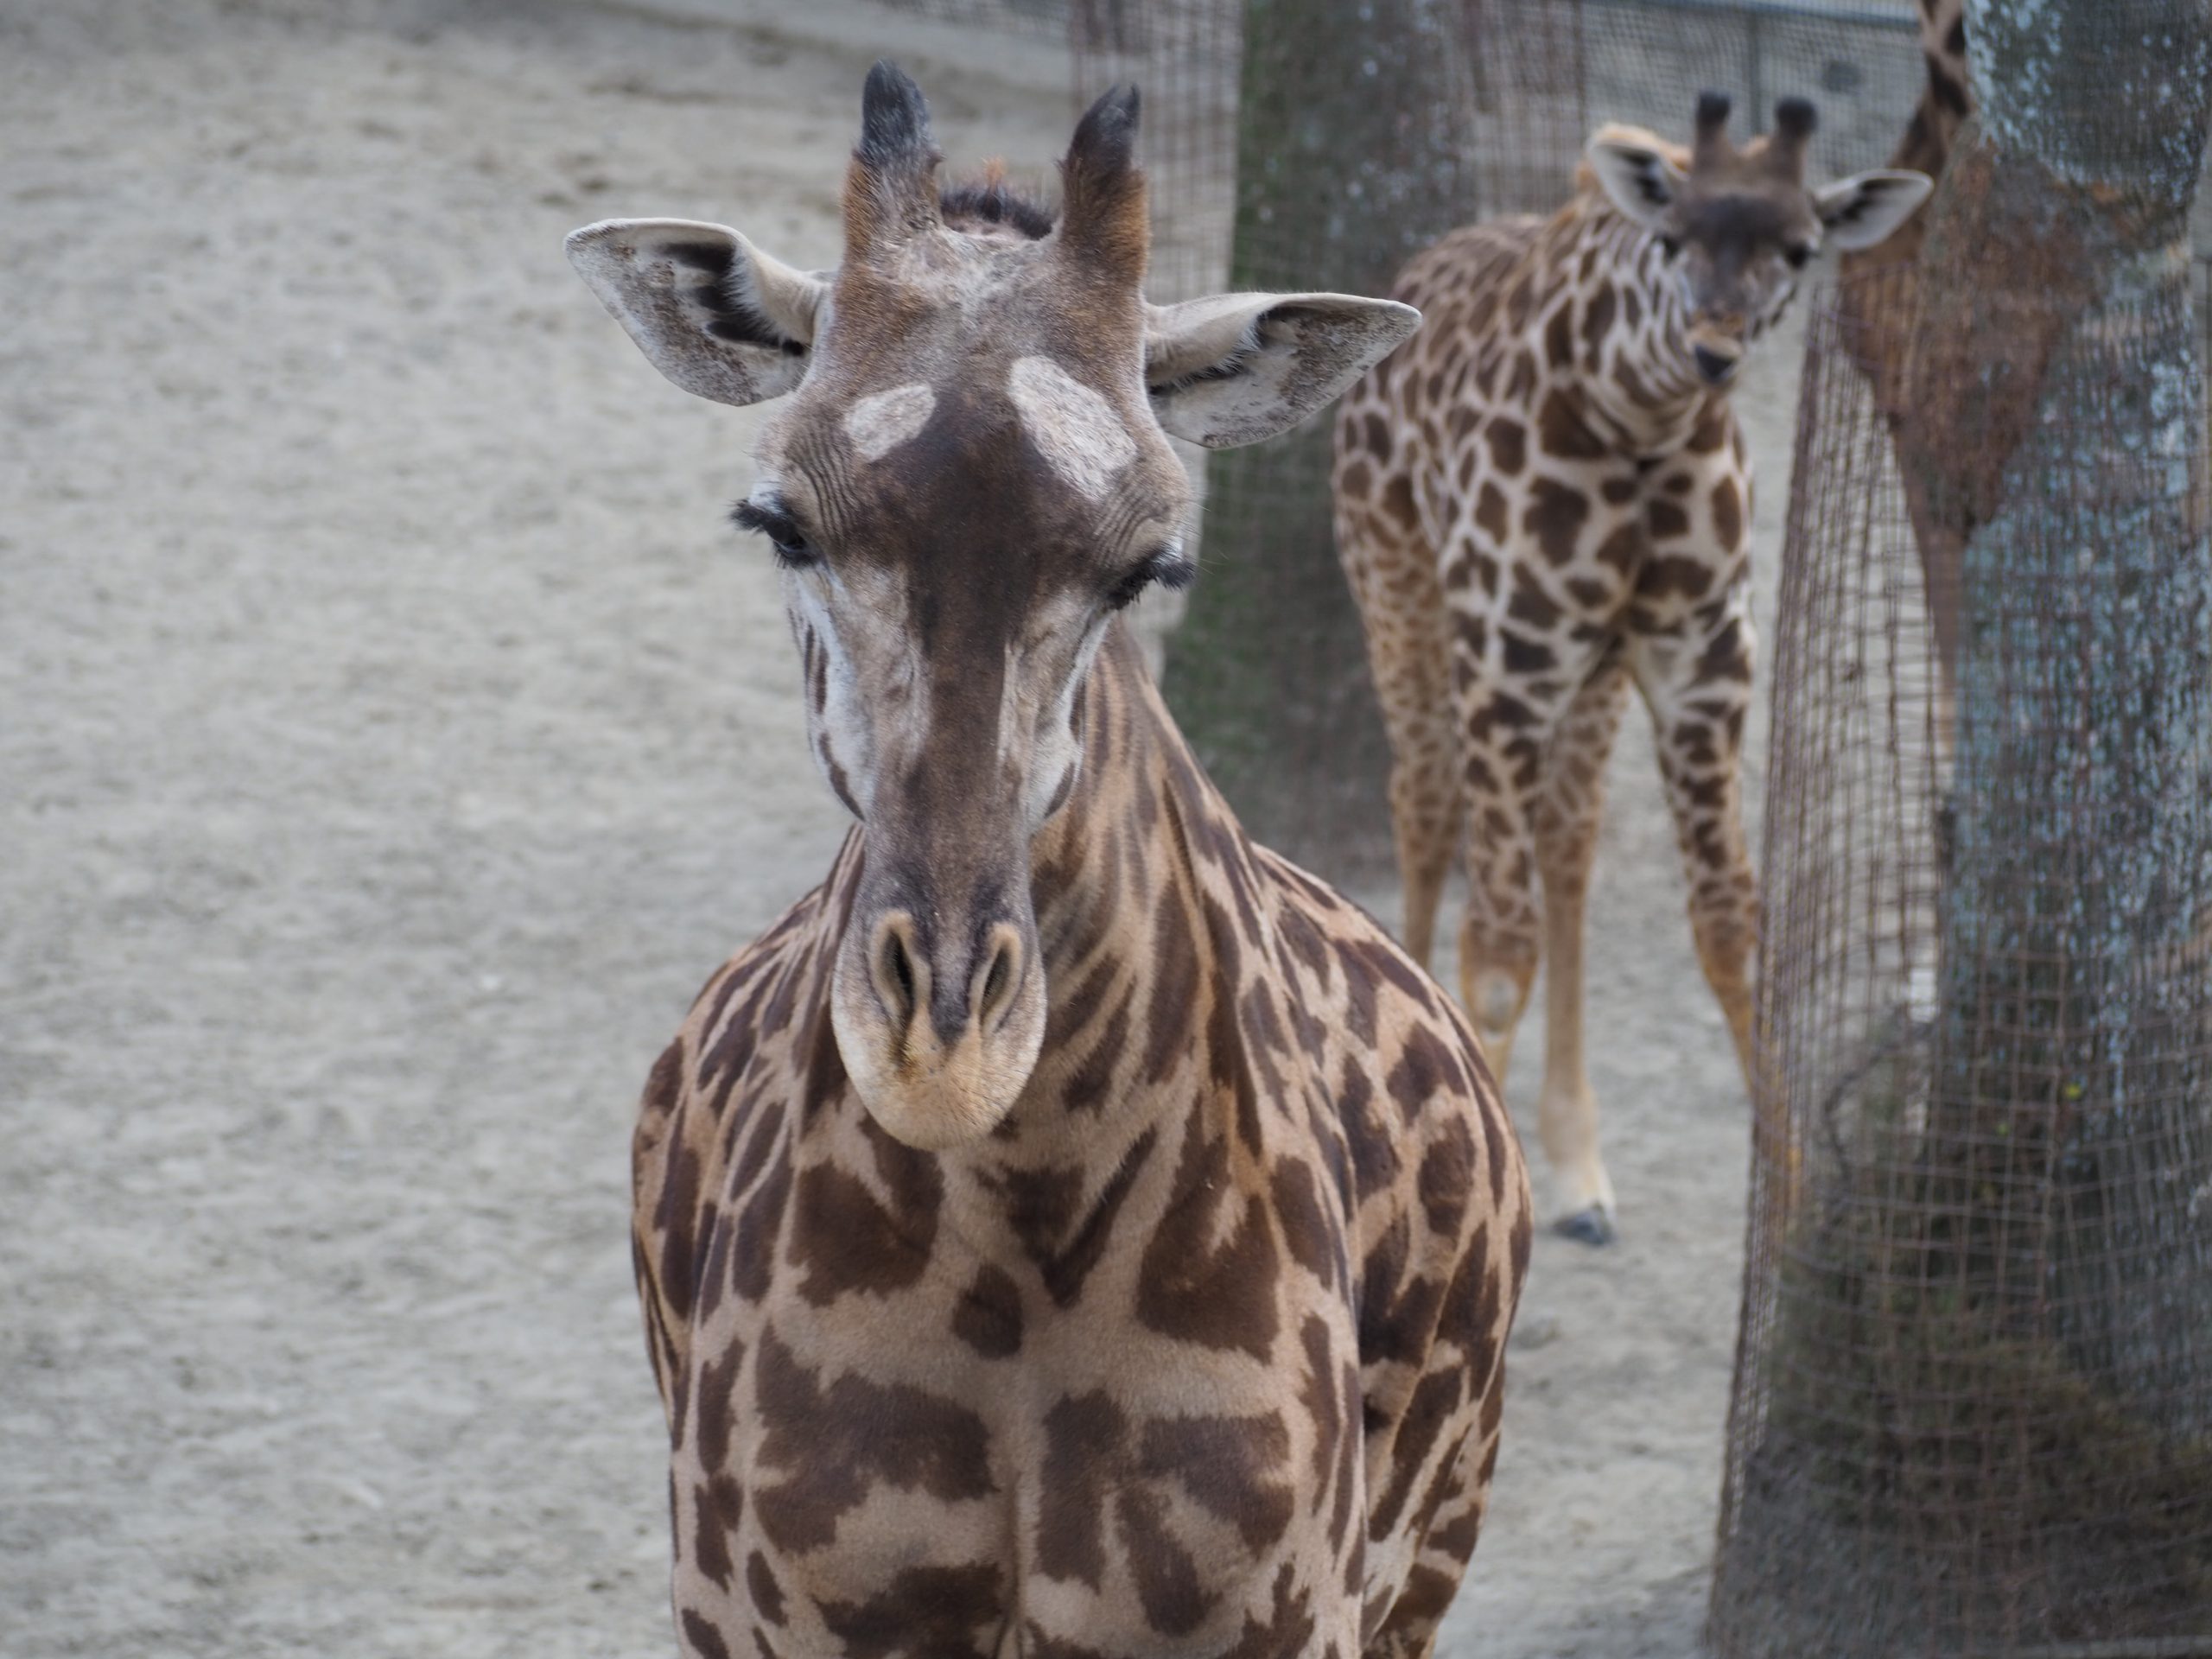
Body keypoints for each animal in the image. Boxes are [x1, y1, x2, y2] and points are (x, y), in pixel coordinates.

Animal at [570, 65, 1539, 1659]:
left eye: (1151, 561)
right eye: (780, 523)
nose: (944, 1046)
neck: (1020, 1225)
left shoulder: (1292, 1614)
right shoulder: (768, 1613)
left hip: (1432, 1555)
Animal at [1318, 90, 1929, 1238]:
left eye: (1799, 247)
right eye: (1672, 236)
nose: (1714, 351)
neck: (1637, 419)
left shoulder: (1703, 663)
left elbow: (1730, 923)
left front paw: (1787, 1208)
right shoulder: (1508, 662)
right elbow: (1497, 949)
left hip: (1591, 675)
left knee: (1568, 844)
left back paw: (1576, 1162)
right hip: (1399, 583)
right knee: (1423, 798)